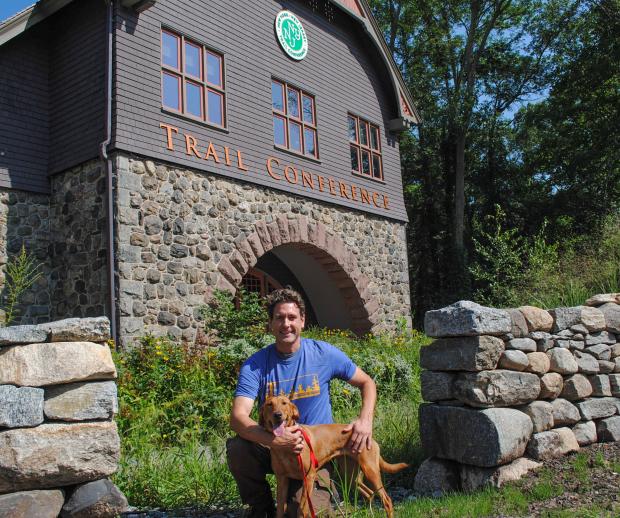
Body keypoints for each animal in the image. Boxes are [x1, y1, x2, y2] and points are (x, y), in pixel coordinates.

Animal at [260, 396, 410, 516]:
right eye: (269, 404)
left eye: (284, 403)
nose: (278, 415)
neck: (286, 448)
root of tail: (370, 437)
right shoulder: (282, 479)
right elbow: (280, 509)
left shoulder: (308, 476)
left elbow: (302, 509)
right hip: (350, 475)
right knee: (369, 494)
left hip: (371, 471)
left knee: (387, 500)